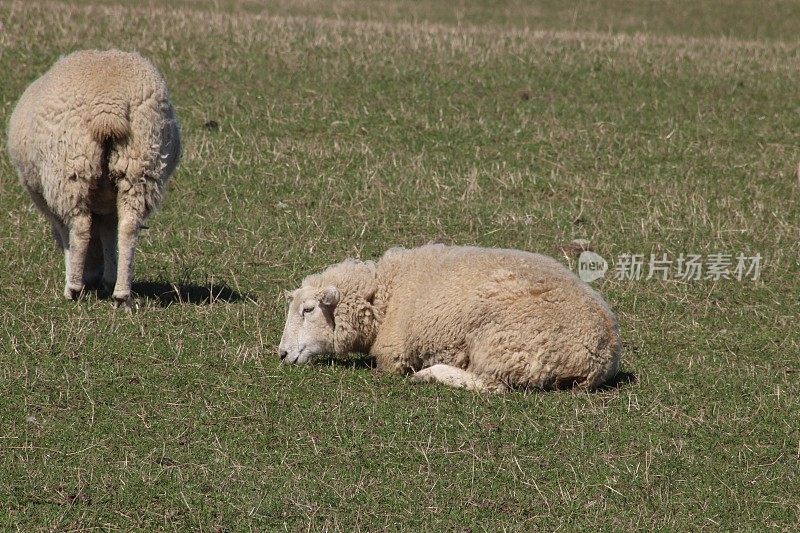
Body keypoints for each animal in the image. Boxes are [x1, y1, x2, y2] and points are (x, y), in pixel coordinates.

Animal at [6, 51, 181, 308]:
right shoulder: (108, 206)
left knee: (79, 227)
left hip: (70, 170)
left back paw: (73, 290)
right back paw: (121, 295)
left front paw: (75, 273)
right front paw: (109, 279)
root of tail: (109, 106)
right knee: (129, 228)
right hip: (140, 164)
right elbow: (109, 232)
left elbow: (66, 234)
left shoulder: (45, 198)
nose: (93, 279)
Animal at [282, 244, 624, 390]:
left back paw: (430, 373)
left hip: (503, 344)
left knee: (491, 385)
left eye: (308, 309)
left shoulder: (393, 354)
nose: (282, 353)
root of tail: (603, 354)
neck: (386, 293)